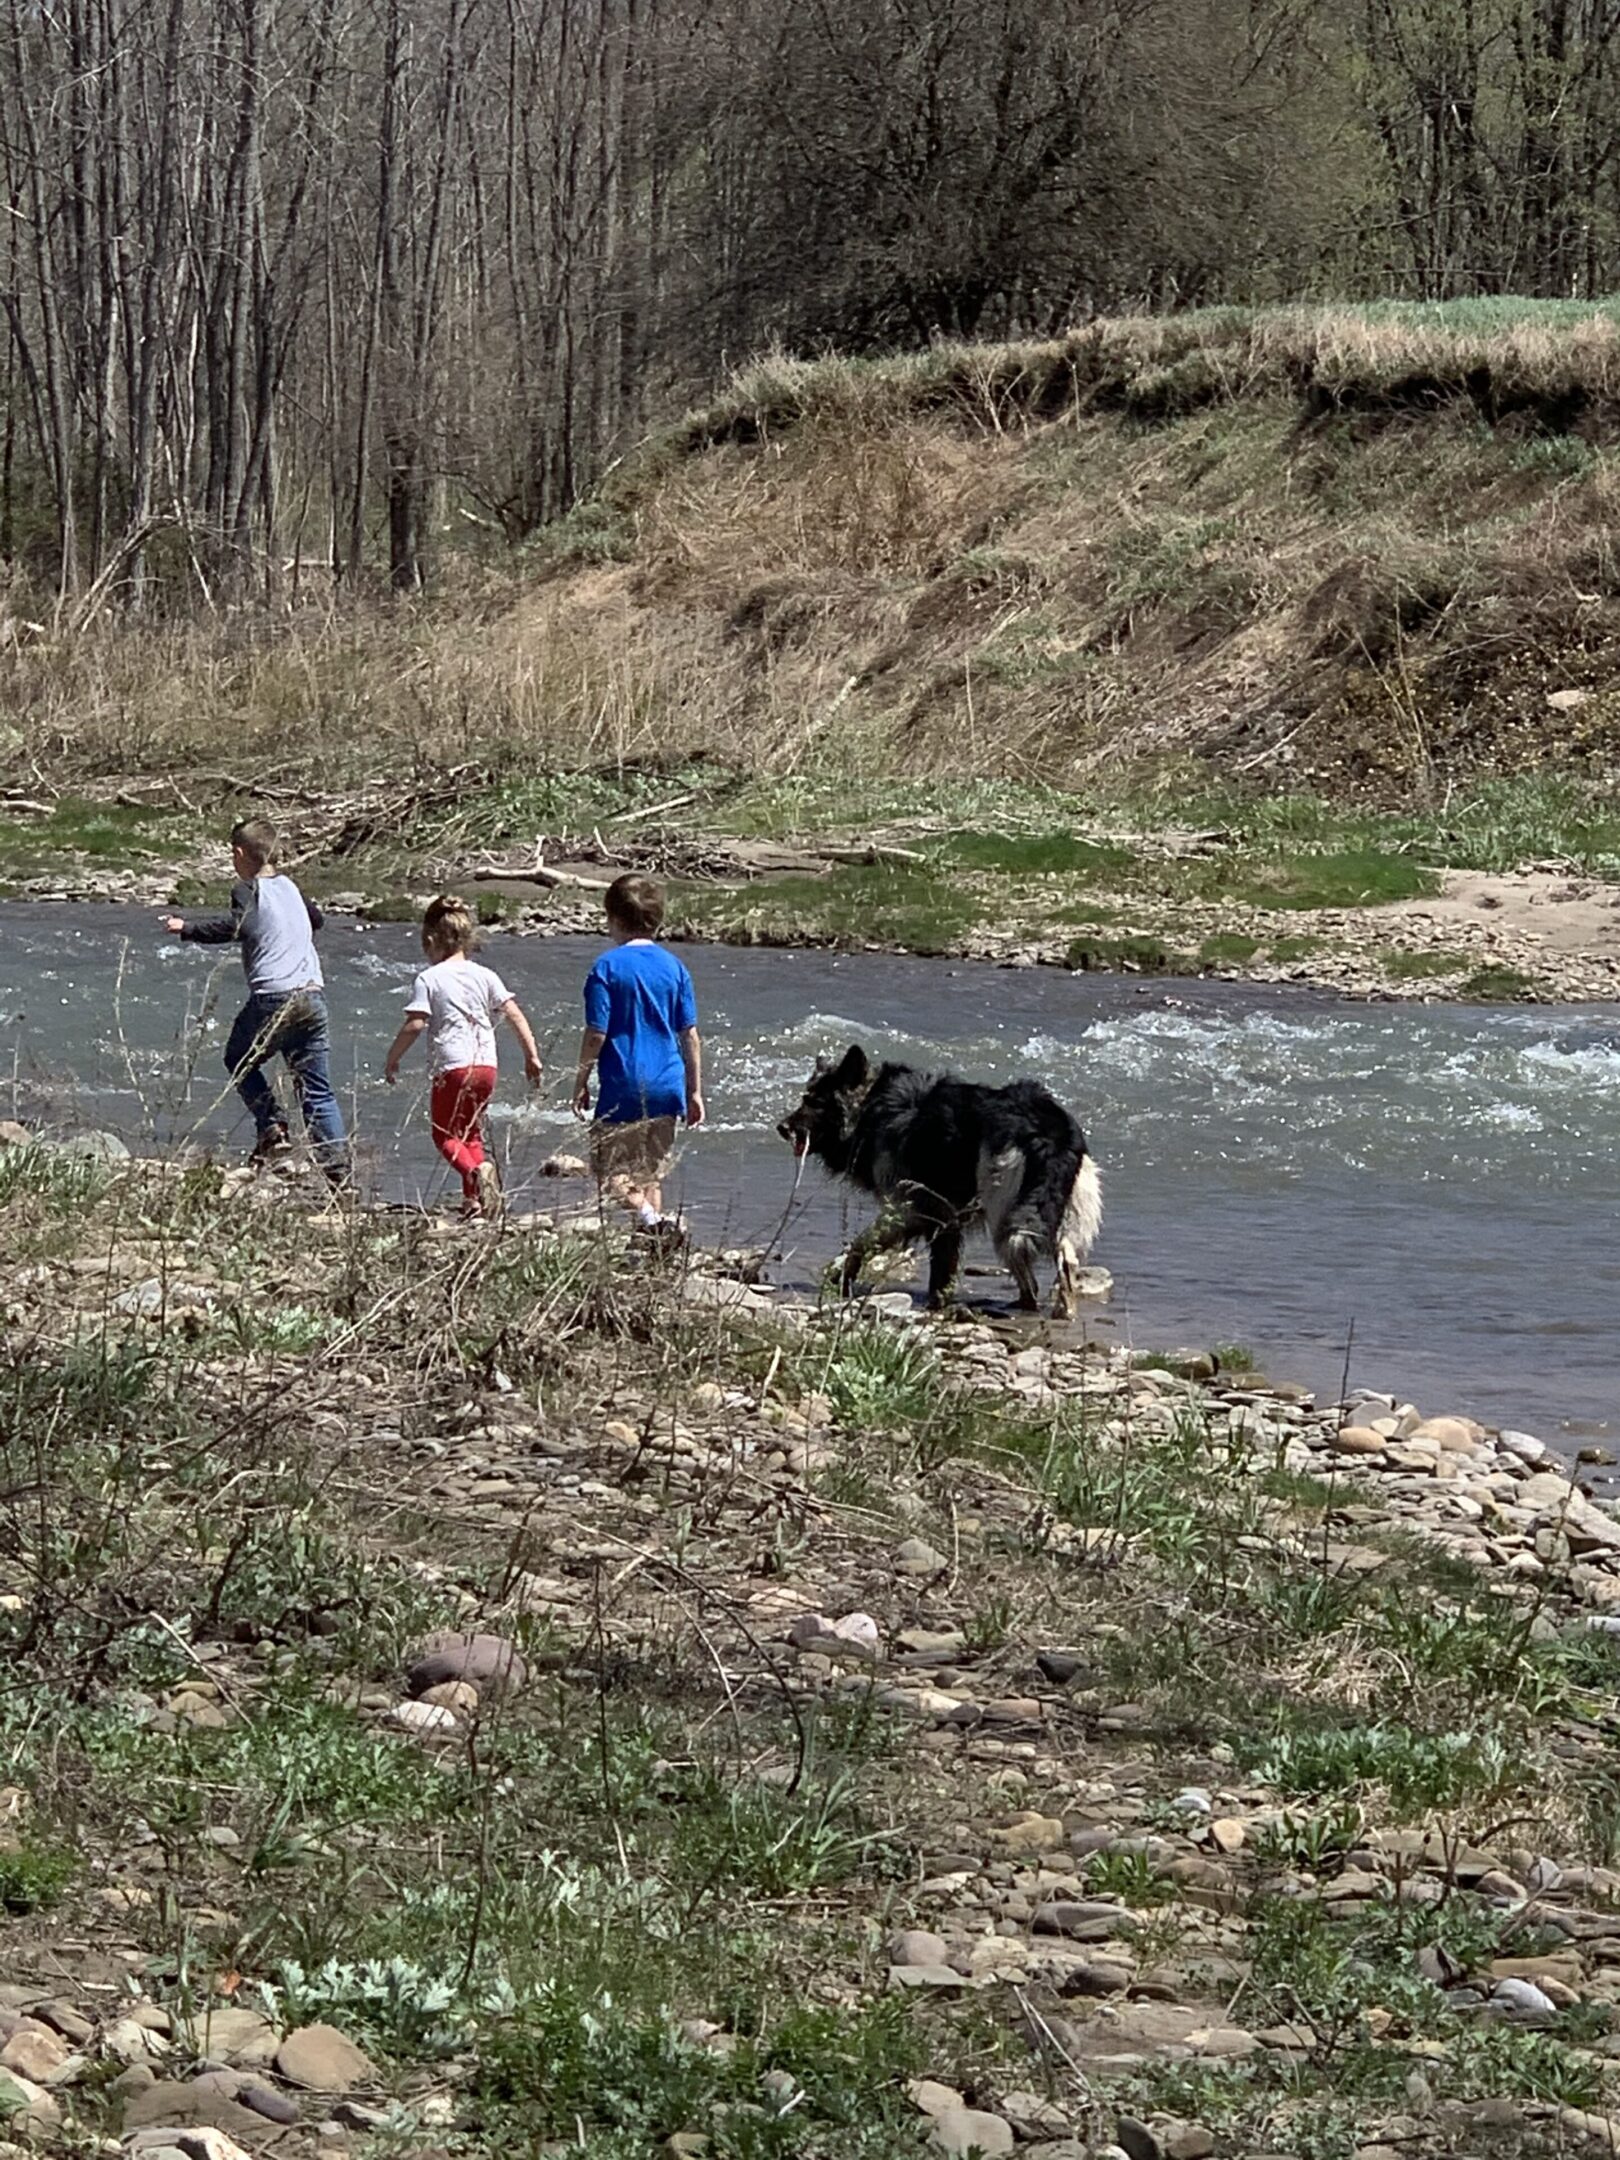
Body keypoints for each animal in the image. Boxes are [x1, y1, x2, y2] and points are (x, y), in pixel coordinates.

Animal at [777, 1045, 1105, 1313]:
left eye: (815, 1103)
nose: (782, 1128)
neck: (871, 1106)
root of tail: (1048, 1128)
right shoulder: (943, 1215)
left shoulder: (916, 1207)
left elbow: (864, 1244)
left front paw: (843, 1277)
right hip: (1059, 1212)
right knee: (1065, 1265)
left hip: (1006, 1213)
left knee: (1028, 1275)